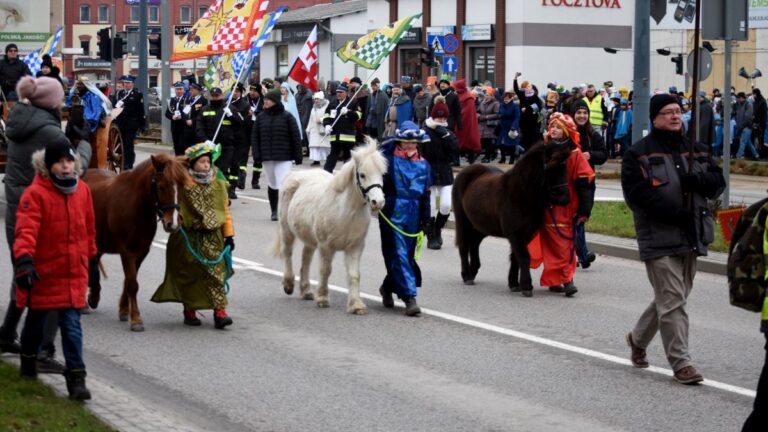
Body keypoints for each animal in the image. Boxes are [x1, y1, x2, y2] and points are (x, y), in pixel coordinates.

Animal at [83, 154, 192, 332]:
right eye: (161, 187)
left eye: (181, 187)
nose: (174, 224)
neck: (137, 205)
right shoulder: (127, 252)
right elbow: (132, 284)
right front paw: (136, 319)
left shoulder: (142, 252)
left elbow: (128, 281)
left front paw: (123, 310)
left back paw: (94, 296)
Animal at [272, 139, 390, 314]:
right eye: (362, 175)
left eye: (382, 174)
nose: (378, 202)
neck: (345, 211)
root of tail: (296, 175)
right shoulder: (326, 246)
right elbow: (325, 270)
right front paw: (322, 298)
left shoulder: (355, 247)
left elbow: (354, 275)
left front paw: (356, 305)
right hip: (286, 230)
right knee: (287, 252)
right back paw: (288, 284)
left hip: (309, 238)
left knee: (306, 258)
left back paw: (306, 290)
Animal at [452, 142, 572, 296]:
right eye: (551, 167)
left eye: (565, 168)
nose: (565, 198)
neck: (522, 194)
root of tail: (465, 172)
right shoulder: (515, 233)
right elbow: (524, 256)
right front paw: (526, 286)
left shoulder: (526, 234)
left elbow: (516, 257)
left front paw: (514, 283)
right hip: (463, 221)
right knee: (464, 245)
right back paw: (466, 275)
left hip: (482, 225)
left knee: (474, 243)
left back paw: (473, 272)